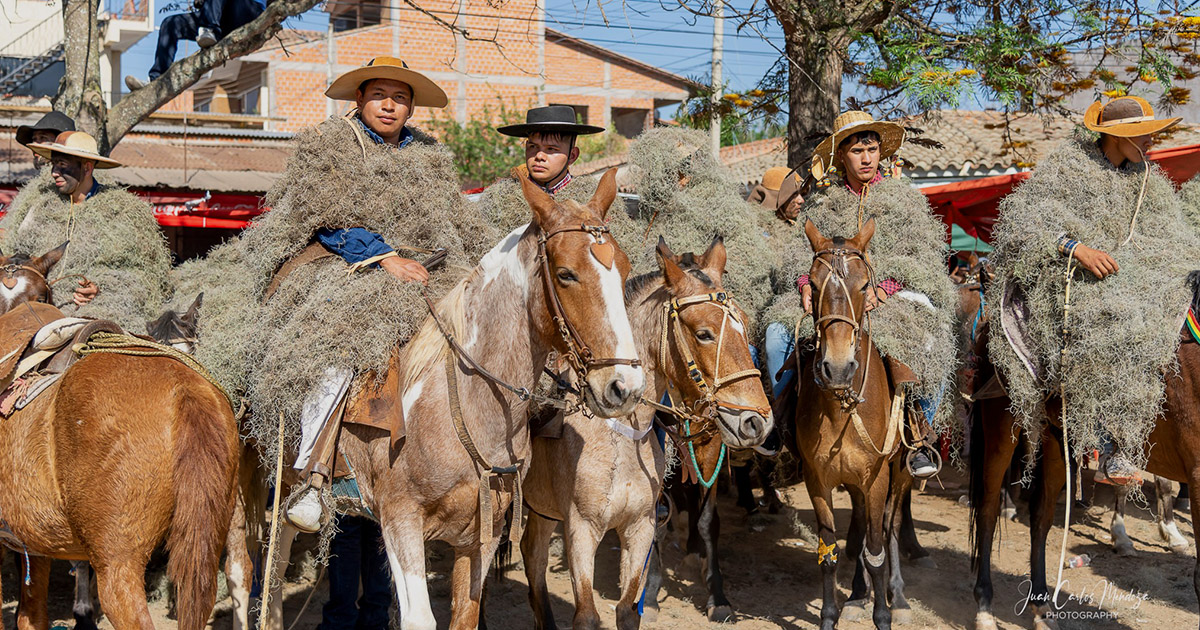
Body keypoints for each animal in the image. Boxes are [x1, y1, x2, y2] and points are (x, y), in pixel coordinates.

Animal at [252, 169, 648, 628]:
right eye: (566, 274)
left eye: (624, 269)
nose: (625, 386)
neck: (465, 404)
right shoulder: (401, 521)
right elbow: (419, 618)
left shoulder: (481, 535)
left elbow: (466, 613)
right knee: (271, 565)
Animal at [792, 217, 912, 628]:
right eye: (813, 285)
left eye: (863, 286)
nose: (838, 367)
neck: (840, 412)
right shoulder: (818, 480)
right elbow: (828, 553)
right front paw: (830, 616)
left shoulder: (876, 480)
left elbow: (876, 550)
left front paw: (883, 615)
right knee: (858, 530)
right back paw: (859, 593)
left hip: (899, 475)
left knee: (889, 528)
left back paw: (897, 595)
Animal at [969, 307, 1200, 624]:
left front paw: (1163, 533)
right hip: (1002, 428)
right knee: (988, 510)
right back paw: (984, 607)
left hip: (1055, 437)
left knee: (1041, 517)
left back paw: (1041, 605)